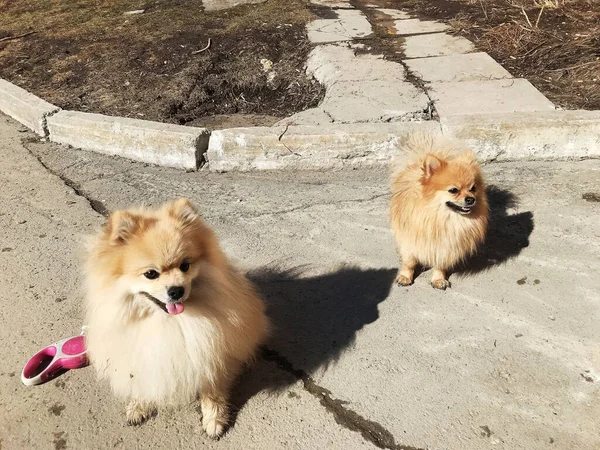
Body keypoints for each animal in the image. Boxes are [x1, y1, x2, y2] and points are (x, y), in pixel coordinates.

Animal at [82, 199, 270, 438]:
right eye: (151, 274)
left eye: (185, 265)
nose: (177, 290)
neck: (168, 321)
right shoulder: (143, 354)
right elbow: (144, 379)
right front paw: (140, 404)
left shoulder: (211, 350)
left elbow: (212, 388)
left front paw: (214, 418)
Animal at [390, 134, 492, 288]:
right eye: (453, 190)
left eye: (473, 188)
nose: (471, 199)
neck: (441, 216)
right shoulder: (410, 238)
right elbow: (409, 261)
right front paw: (405, 276)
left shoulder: (445, 245)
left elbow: (440, 263)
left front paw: (438, 279)